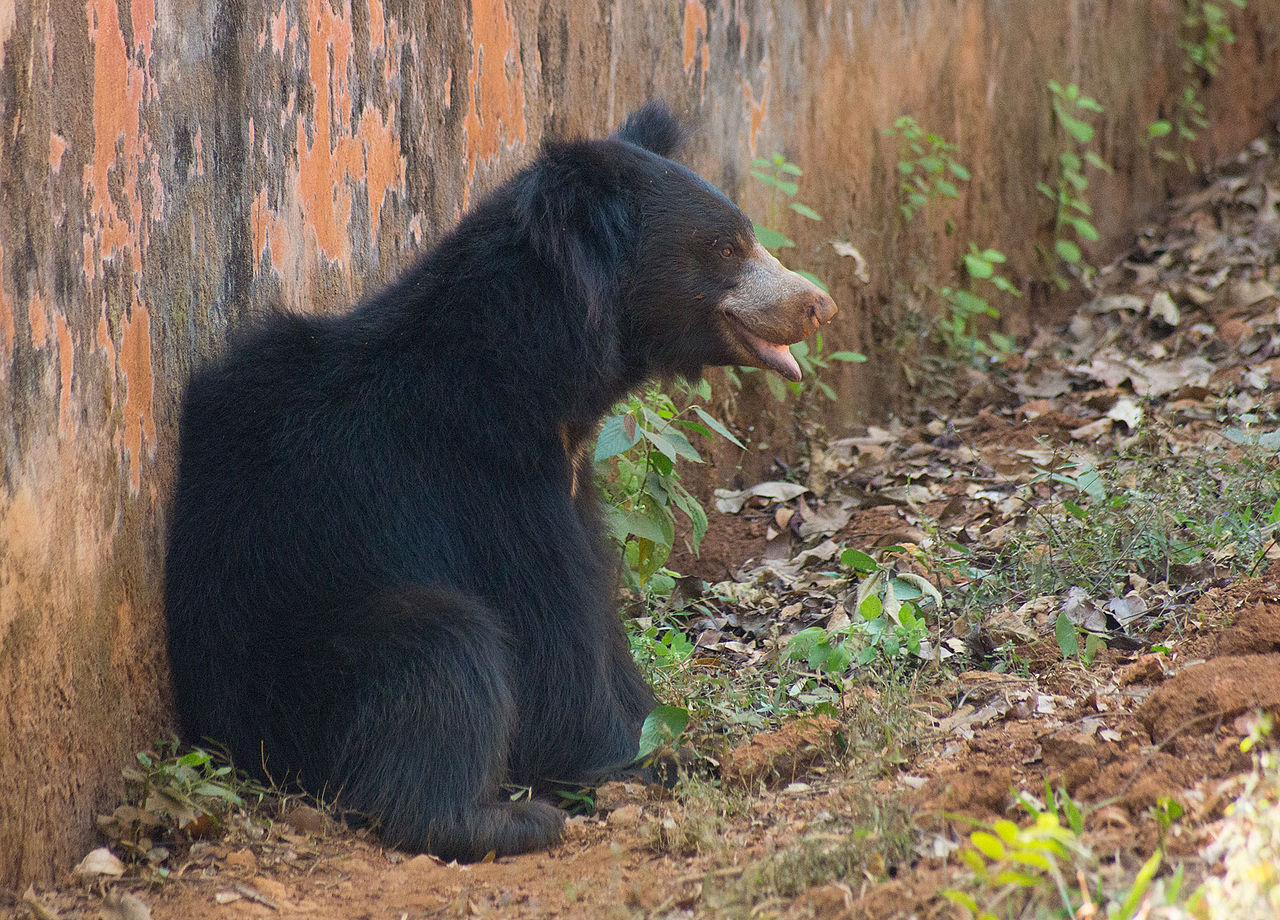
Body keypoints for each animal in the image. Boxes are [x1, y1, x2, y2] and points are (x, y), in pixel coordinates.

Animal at [162, 104, 839, 859]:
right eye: (725, 248)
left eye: (746, 238)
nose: (818, 304)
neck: (534, 374)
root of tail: (219, 737)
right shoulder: (482, 479)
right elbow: (551, 632)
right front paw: (644, 761)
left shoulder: (569, 482)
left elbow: (598, 617)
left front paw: (664, 733)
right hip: (302, 671)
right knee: (444, 649)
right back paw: (499, 821)